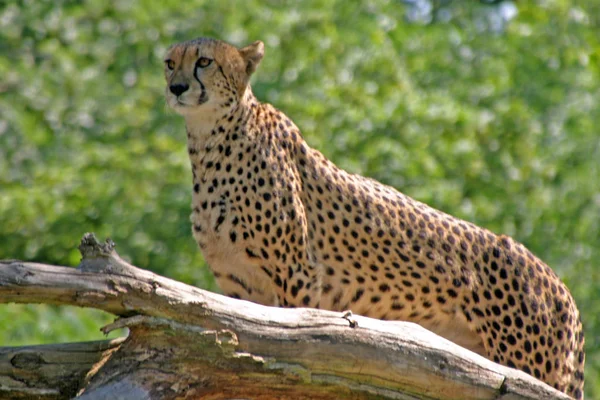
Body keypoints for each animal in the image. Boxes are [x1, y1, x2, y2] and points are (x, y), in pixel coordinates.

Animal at [162, 36, 584, 396]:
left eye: (204, 61)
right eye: (170, 63)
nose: (177, 88)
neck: (210, 140)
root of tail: (561, 288)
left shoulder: (297, 279)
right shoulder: (240, 290)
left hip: (530, 365)